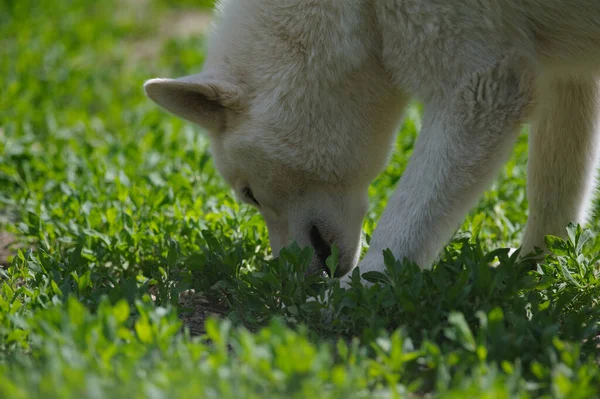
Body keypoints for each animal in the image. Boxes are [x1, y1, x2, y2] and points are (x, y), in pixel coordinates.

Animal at [144, 0, 600, 288]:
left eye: (249, 194)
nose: (295, 280)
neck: (360, 10)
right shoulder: (568, 71)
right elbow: (555, 192)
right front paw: (532, 273)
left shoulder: (481, 86)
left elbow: (402, 230)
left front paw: (350, 296)